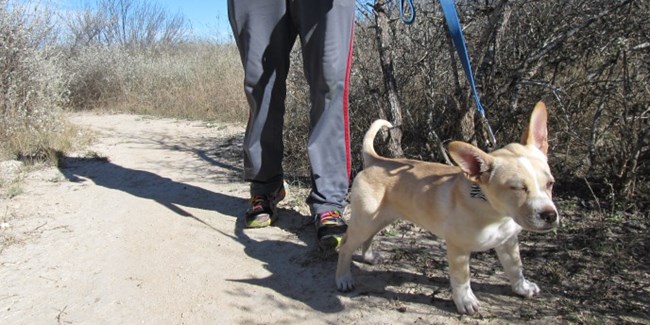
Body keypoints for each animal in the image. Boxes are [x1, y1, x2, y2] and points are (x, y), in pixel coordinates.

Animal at [334, 102, 556, 314]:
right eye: (517, 188)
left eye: (550, 184)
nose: (550, 216)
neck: (494, 212)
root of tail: (376, 159)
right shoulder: (458, 249)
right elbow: (462, 280)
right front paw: (466, 302)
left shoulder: (508, 242)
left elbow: (515, 267)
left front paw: (522, 288)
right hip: (364, 221)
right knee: (345, 245)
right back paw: (343, 278)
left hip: (380, 219)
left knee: (367, 238)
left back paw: (368, 257)